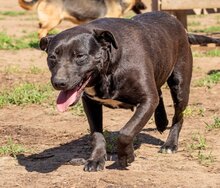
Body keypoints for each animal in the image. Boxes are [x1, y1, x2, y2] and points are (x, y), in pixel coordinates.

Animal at [40, 11, 220, 170]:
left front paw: (127, 156)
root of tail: (181, 27)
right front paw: (96, 160)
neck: (110, 68)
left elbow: (126, 132)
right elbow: (97, 135)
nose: (59, 82)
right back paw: (161, 121)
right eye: (52, 57)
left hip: (180, 86)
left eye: (80, 56)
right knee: (160, 94)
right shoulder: (91, 103)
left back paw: (170, 144)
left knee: (178, 116)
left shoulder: (147, 100)